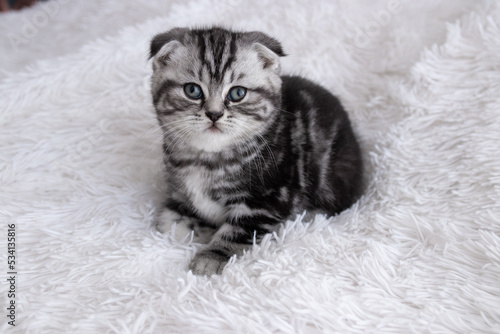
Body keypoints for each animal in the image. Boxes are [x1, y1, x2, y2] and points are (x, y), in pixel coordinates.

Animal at [149, 27, 364, 276]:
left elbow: (235, 233)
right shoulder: (179, 193)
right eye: (192, 90)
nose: (214, 114)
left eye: (237, 93)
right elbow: (167, 223)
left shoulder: (266, 202)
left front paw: (210, 256)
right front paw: (202, 229)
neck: (208, 159)